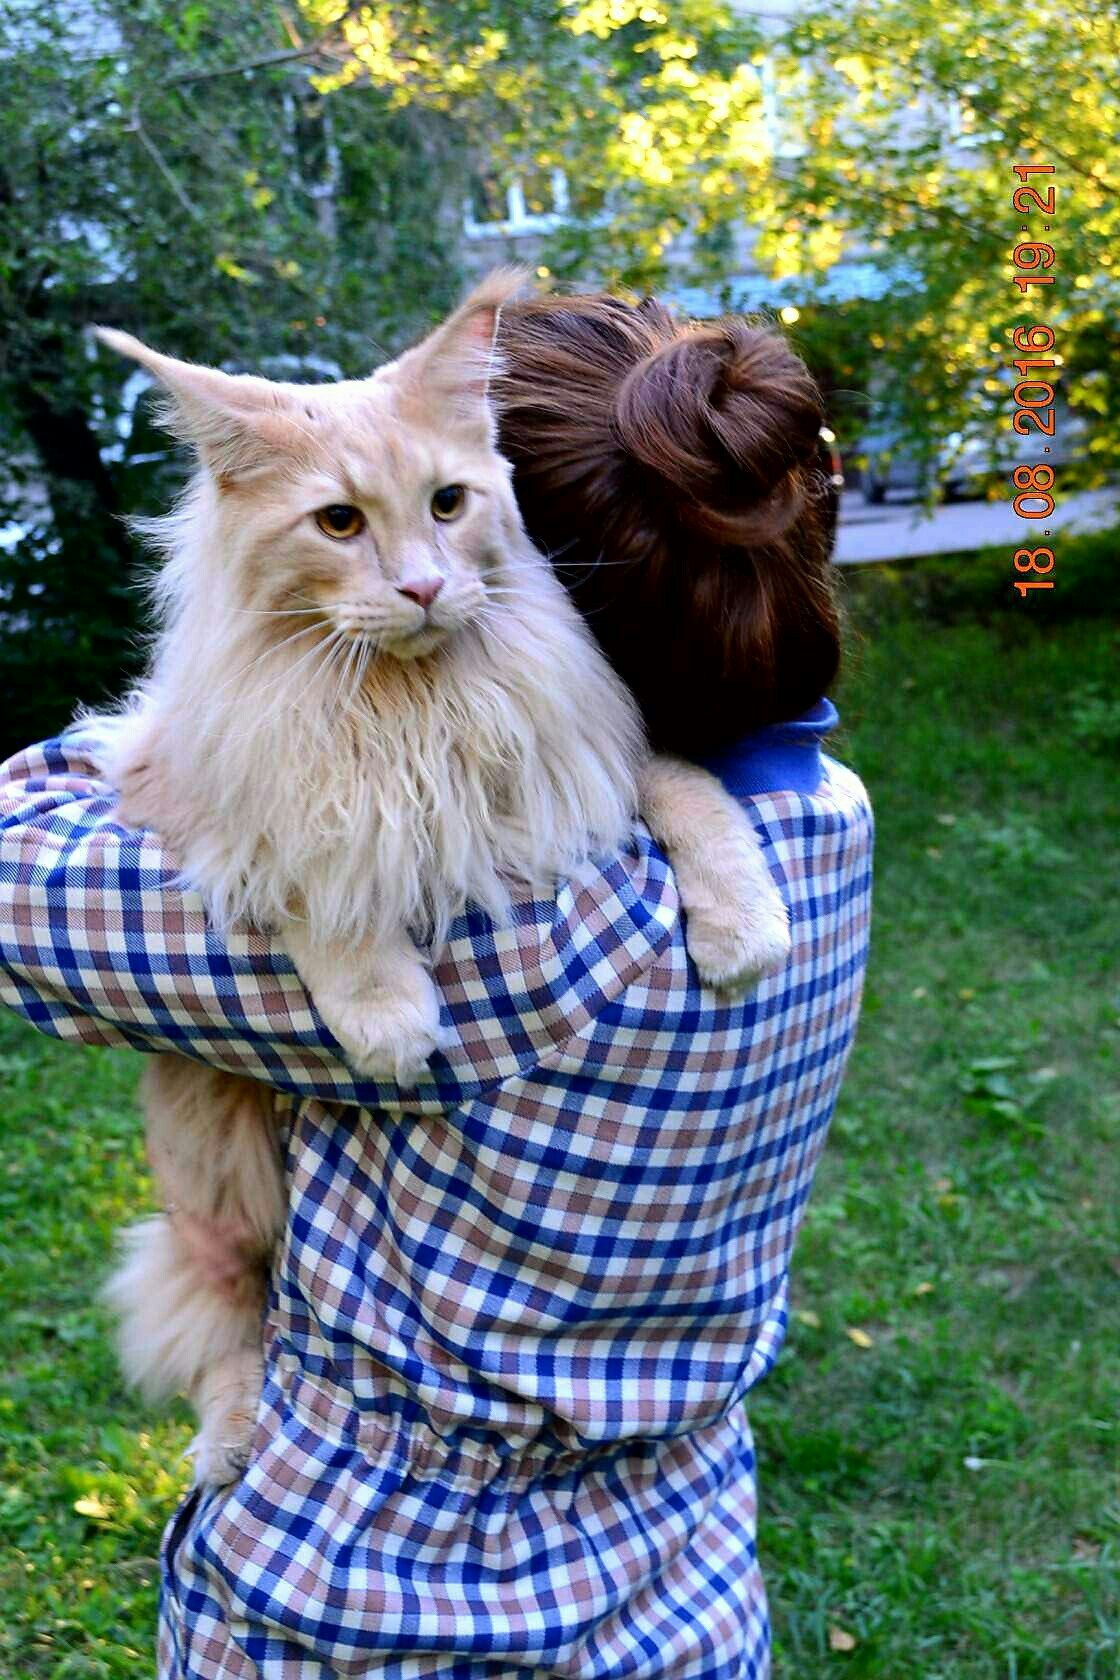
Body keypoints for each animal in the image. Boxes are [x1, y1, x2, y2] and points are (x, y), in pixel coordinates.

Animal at [91, 272, 792, 1485]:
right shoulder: (196, 792)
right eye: (338, 523)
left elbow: (692, 791)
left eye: (450, 503)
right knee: (224, 1314)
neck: (407, 705)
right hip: (217, 1170)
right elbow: (323, 864)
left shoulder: (588, 763)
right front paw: (384, 1015)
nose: (423, 587)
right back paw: (228, 1438)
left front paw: (740, 926)